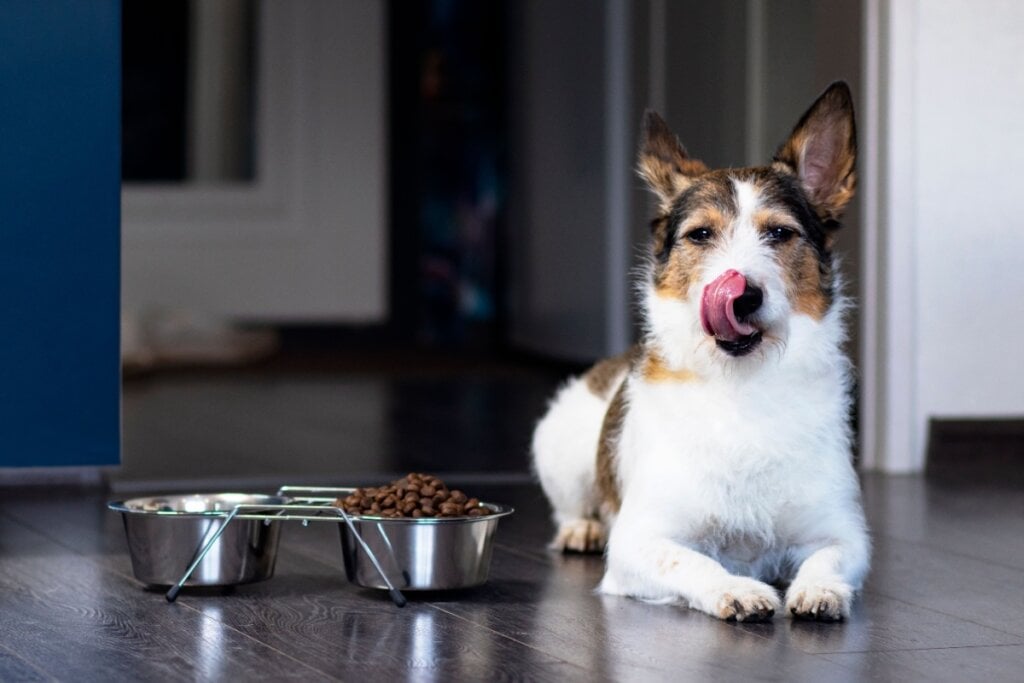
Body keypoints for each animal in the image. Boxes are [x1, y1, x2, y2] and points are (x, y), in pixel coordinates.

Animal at [532, 82, 868, 622]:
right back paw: (581, 528)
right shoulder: (637, 542)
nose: (743, 295)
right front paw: (738, 589)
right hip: (559, 447)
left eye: (780, 233)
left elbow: (829, 557)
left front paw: (819, 589)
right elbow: (693, 562)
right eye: (701, 234)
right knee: (569, 507)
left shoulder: (842, 533)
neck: (743, 385)